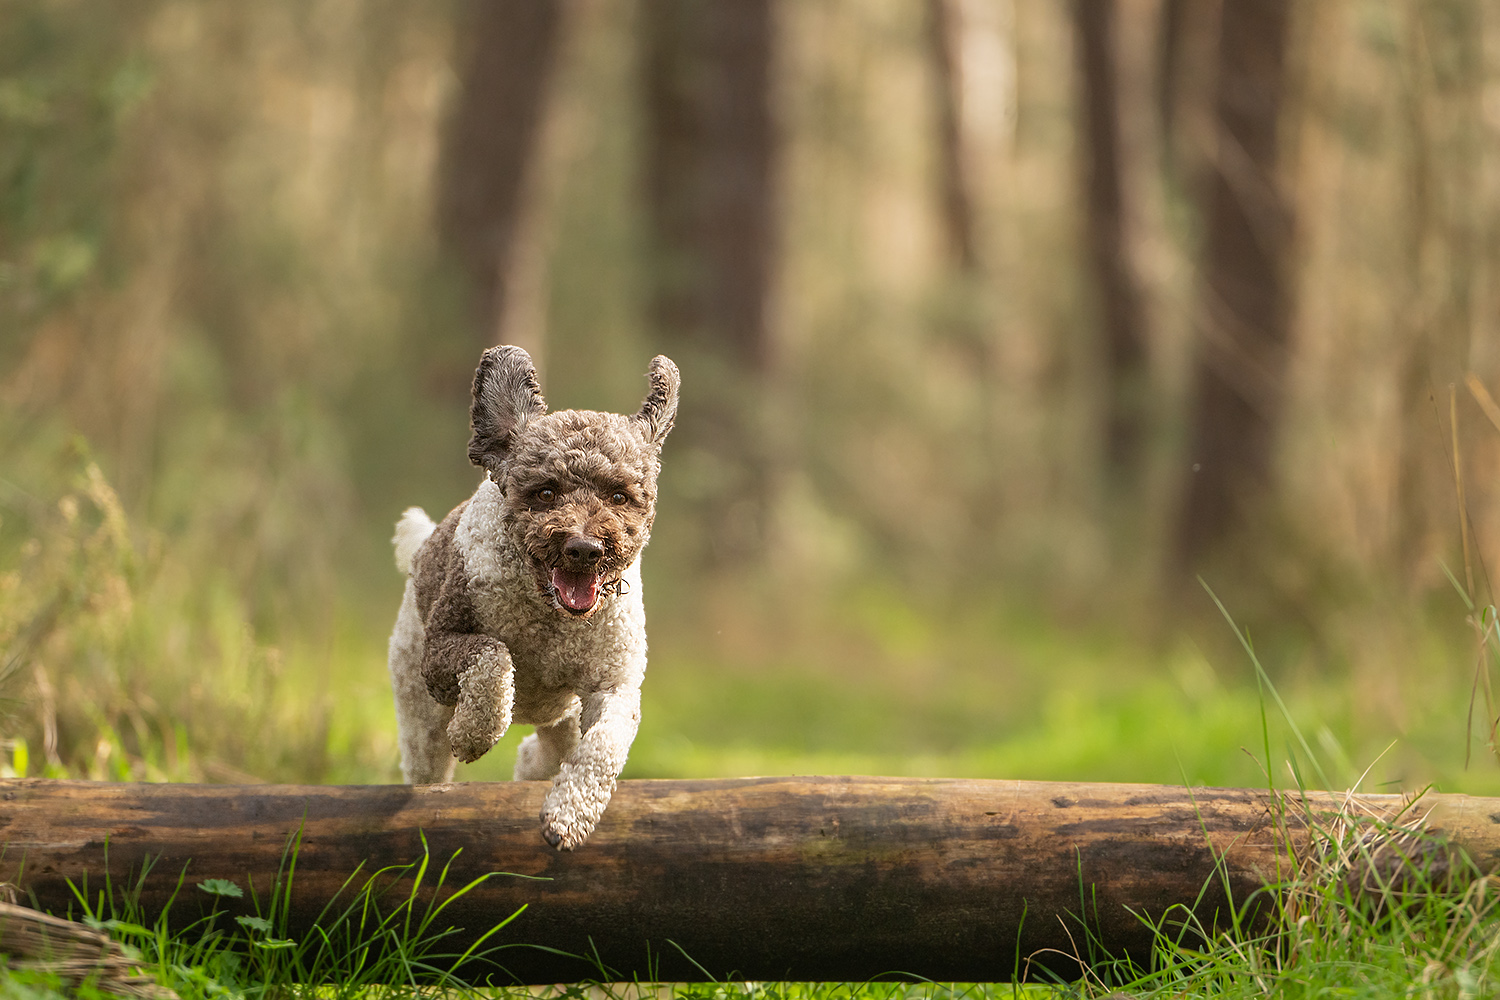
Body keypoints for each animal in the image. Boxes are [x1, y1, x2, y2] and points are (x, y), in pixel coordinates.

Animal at [387, 347, 681, 851]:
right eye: (545, 492)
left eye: (619, 496)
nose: (585, 548)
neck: (550, 620)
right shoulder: (441, 650)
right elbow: (493, 656)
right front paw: (472, 733)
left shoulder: (613, 683)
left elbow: (605, 745)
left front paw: (569, 817)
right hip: (418, 710)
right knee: (429, 765)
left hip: (563, 714)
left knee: (548, 752)